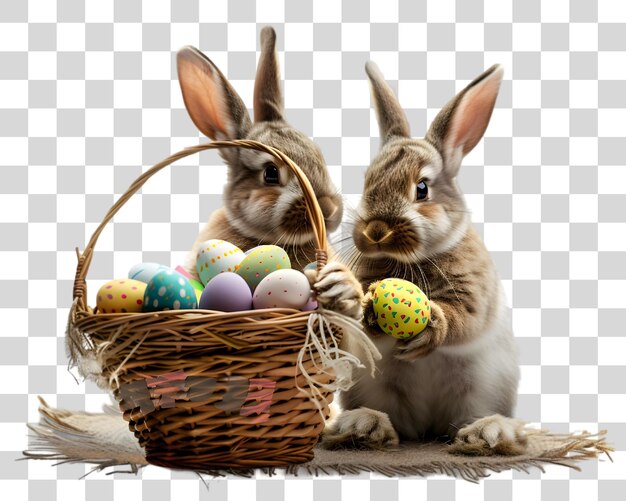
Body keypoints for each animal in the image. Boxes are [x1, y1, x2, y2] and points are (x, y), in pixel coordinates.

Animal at [322, 62, 528, 454]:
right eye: (368, 181)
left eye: (422, 189)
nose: (375, 231)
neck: (412, 260)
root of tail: (428, 429)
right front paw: (349, 294)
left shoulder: (474, 295)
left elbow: (463, 320)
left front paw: (431, 325)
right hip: (375, 388)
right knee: (395, 424)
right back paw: (363, 427)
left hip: (483, 388)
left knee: (469, 419)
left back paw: (488, 434)